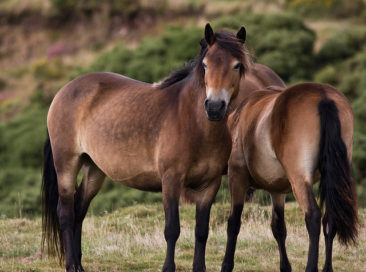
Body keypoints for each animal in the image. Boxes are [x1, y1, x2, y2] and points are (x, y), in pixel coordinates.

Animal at [42, 24, 249, 270]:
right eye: (206, 65)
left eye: (237, 65)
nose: (215, 107)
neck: (193, 123)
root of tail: (64, 91)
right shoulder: (171, 181)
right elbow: (172, 230)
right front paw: (168, 268)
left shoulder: (209, 185)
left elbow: (201, 231)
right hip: (66, 164)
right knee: (65, 213)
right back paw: (72, 265)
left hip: (94, 169)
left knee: (79, 210)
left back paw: (80, 264)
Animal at [220, 83, 358, 272]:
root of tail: (323, 96)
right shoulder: (277, 190)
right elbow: (278, 227)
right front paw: (285, 266)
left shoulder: (237, 177)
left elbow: (233, 223)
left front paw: (226, 264)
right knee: (329, 219)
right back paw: (327, 268)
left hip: (299, 180)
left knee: (313, 216)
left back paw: (311, 267)